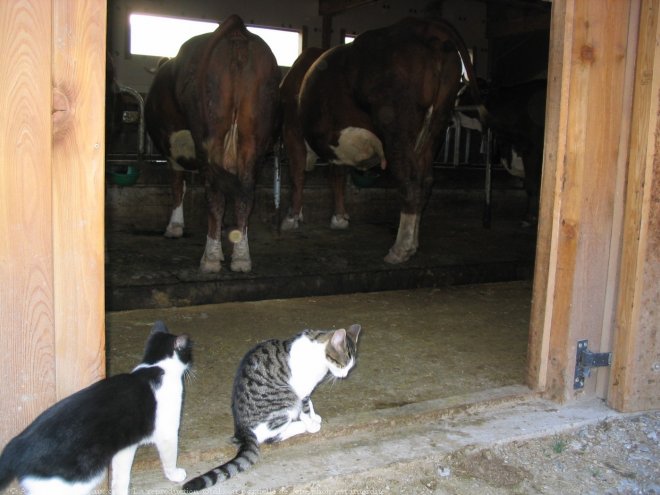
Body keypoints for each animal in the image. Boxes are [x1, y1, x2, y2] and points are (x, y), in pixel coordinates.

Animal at [0, 322, 191, 495]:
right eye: (188, 352)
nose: (190, 363)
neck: (156, 365)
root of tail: (16, 445)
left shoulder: (126, 447)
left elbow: (121, 476)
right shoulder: (167, 432)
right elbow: (169, 456)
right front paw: (175, 475)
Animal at [144, 14, 278, 276]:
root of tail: (238, 31)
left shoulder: (170, 148)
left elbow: (177, 185)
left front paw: (174, 226)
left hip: (212, 129)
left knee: (214, 193)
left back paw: (211, 257)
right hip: (254, 130)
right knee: (246, 192)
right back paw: (241, 256)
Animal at [183, 326, 360, 492]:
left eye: (350, 367)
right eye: (342, 364)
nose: (344, 375)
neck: (317, 350)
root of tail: (241, 428)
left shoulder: (307, 389)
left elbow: (310, 403)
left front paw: (314, 416)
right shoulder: (301, 389)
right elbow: (305, 407)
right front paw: (311, 423)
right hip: (287, 399)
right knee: (270, 436)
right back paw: (301, 426)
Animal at [278, 16, 480, 264]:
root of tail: (422, 25)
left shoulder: (292, 130)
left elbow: (297, 175)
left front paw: (291, 218)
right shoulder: (335, 140)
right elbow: (337, 176)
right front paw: (339, 218)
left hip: (396, 127)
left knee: (410, 181)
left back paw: (400, 249)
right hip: (436, 125)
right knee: (426, 181)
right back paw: (413, 243)